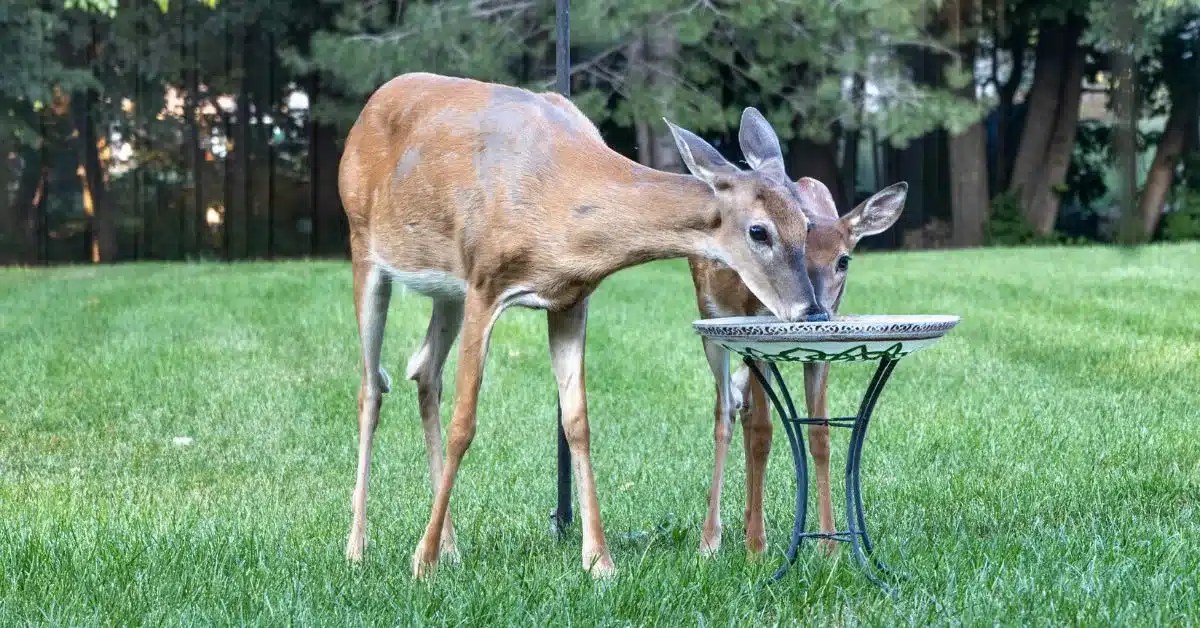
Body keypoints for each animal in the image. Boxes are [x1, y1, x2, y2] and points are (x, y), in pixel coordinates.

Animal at [337, 72, 832, 579]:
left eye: (807, 225)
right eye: (759, 231)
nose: (811, 311)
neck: (562, 205)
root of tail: (371, 105)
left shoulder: (570, 299)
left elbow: (577, 421)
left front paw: (598, 560)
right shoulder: (484, 283)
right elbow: (464, 423)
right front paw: (422, 560)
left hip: (444, 291)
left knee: (424, 371)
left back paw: (451, 545)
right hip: (365, 246)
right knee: (371, 387)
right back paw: (358, 547)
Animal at [689, 176, 907, 558]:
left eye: (844, 260)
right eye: (796, 257)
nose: (818, 314)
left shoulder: (821, 352)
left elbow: (819, 434)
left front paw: (830, 545)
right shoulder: (755, 329)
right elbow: (764, 432)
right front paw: (756, 548)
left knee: (743, 407)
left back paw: (747, 520)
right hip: (710, 320)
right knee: (725, 414)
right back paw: (711, 539)